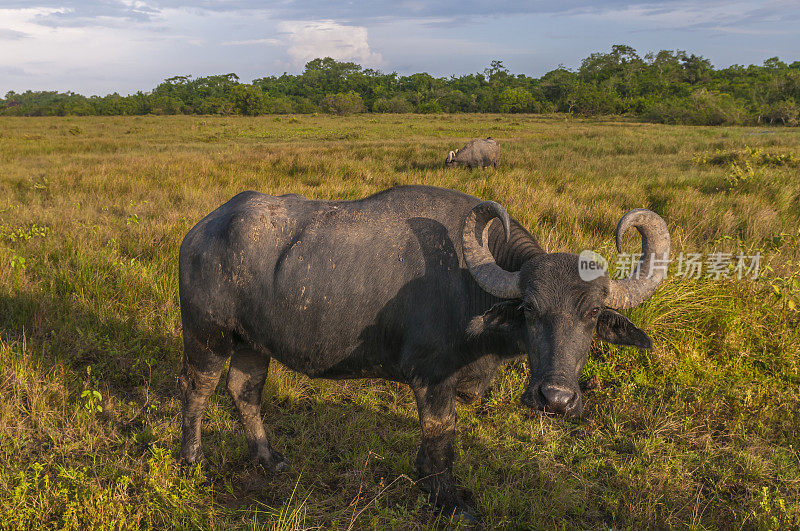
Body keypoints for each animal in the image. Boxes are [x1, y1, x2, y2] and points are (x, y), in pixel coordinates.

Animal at [180, 185, 668, 520]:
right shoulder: (432, 381)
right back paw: (192, 460)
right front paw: (447, 499)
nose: (556, 399)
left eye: (592, 313)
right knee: (196, 389)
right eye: (530, 308)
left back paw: (268, 458)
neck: (468, 285)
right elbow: (441, 438)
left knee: (244, 390)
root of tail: (201, 230)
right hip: (206, 337)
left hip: (251, 344)